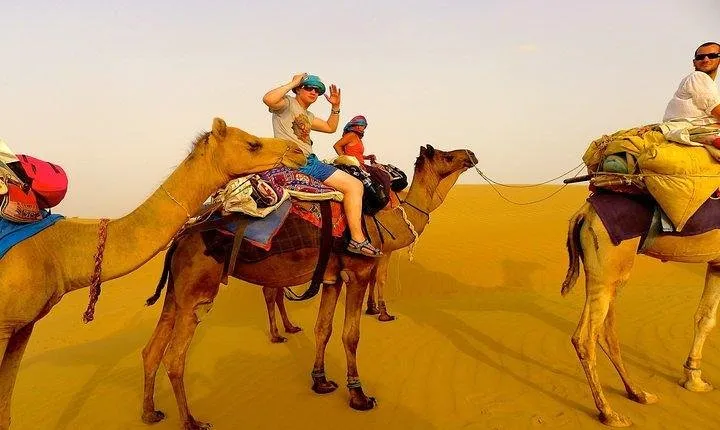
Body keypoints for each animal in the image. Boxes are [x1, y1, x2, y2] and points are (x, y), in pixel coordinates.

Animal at [0, 118, 305, 429]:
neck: (55, 250)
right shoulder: (4, 326)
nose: (298, 152)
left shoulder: (22, 326)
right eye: (252, 144)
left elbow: (5, 411)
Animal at [140, 145, 477, 430]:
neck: (383, 219)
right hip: (198, 293)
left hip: (178, 292)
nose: (471, 154)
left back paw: (150, 412)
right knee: (175, 357)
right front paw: (359, 396)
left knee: (152, 349)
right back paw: (191, 421)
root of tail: (179, 239)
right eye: (447, 156)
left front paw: (321, 381)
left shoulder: (331, 278)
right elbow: (351, 335)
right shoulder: (359, 271)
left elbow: (323, 328)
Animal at [563, 199, 720, 427]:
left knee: (605, 333)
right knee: (585, 339)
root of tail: (583, 213)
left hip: (608, 275)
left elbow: (705, 318)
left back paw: (638, 394)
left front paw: (694, 380)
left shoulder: (717, 263)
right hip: (608, 266)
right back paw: (610, 414)